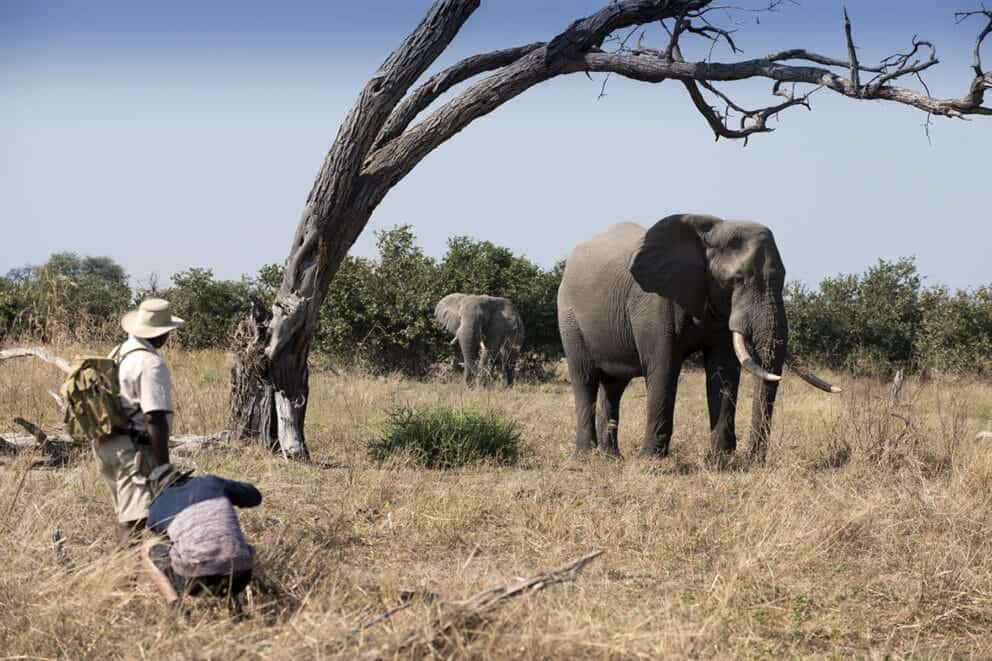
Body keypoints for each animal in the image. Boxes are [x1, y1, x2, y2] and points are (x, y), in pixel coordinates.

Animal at [557, 214, 840, 463]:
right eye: (737, 279)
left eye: (782, 279)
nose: (753, 460)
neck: (711, 232)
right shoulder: (655, 302)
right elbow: (664, 368)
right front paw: (651, 463)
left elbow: (724, 370)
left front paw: (722, 461)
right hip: (568, 317)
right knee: (584, 378)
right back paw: (585, 459)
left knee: (614, 386)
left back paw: (611, 459)